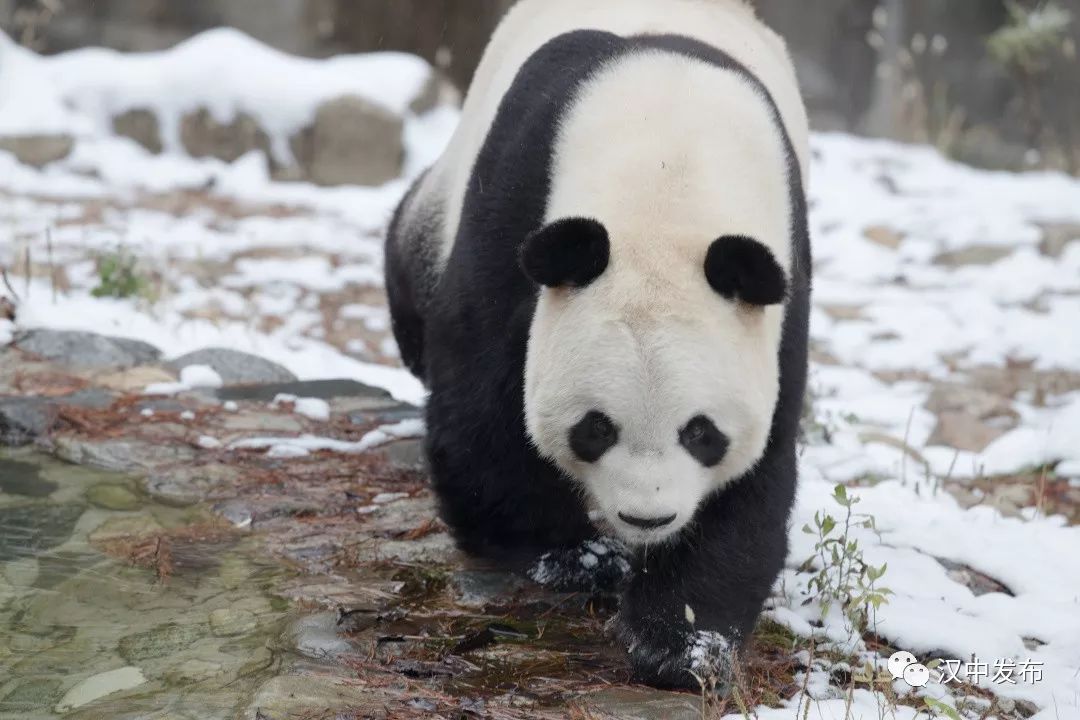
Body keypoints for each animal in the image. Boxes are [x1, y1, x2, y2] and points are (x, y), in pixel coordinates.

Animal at [384, 0, 807, 690]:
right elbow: (483, 396)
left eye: (702, 433)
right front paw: (576, 558)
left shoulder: (778, 288)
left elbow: (758, 469)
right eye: (595, 428)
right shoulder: (520, 192)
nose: (647, 519)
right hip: (441, 201)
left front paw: (680, 643)